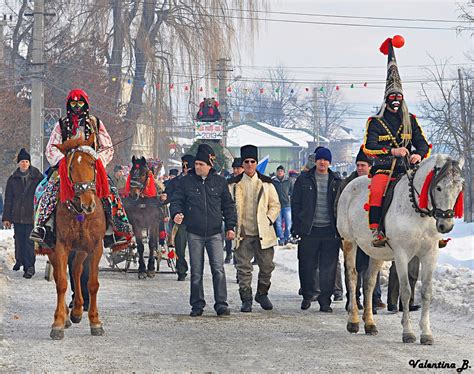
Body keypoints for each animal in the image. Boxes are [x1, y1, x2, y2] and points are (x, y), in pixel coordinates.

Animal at [47, 134, 108, 338]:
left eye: (92, 164)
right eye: (71, 167)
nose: (88, 203)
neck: (80, 213)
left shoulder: (95, 246)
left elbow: (93, 283)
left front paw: (95, 322)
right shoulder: (61, 246)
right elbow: (61, 283)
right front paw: (58, 323)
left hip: (82, 249)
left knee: (76, 269)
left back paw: (77, 311)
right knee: (61, 274)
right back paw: (67, 315)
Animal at [336, 154, 462, 344]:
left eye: (459, 187)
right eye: (439, 187)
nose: (446, 225)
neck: (418, 212)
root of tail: (351, 184)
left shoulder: (430, 253)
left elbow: (426, 291)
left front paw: (426, 333)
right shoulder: (402, 254)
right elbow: (406, 290)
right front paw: (408, 332)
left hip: (377, 252)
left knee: (369, 282)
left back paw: (370, 324)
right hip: (349, 241)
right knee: (352, 277)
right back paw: (354, 321)